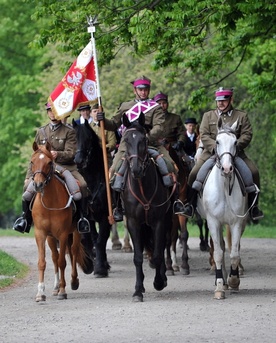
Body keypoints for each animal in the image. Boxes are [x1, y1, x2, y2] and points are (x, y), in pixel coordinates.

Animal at [31, 141, 89, 302]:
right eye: (32, 162)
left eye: (49, 162)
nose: (38, 185)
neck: (49, 202)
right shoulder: (41, 234)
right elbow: (43, 262)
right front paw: (40, 293)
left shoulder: (63, 234)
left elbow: (63, 262)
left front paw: (63, 291)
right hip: (51, 238)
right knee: (55, 257)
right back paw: (56, 287)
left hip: (74, 232)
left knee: (73, 251)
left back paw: (73, 282)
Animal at [121, 112, 172, 300]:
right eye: (126, 139)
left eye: (143, 139)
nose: (136, 169)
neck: (142, 186)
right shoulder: (133, 222)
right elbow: (137, 257)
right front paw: (137, 290)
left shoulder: (159, 222)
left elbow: (157, 254)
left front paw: (159, 282)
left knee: (163, 246)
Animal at [196, 119, 248, 300]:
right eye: (217, 142)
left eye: (235, 142)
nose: (226, 168)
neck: (225, 187)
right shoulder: (213, 222)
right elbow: (219, 253)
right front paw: (219, 286)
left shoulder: (237, 222)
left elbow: (234, 253)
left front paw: (234, 280)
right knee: (221, 247)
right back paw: (222, 281)